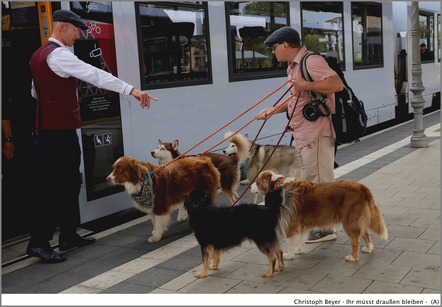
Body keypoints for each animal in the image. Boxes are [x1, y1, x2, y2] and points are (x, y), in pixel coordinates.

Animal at [250, 170, 388, 262]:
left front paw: (289, 255)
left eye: (257, 181)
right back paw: (369, 248)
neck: (277, 187)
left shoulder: (292, 226)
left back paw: (353, 257)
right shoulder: (301, 225)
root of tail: (363, 188)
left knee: (356, 240)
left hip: (350, 222)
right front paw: (299, 250)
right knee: (366, 234)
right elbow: (300, 239)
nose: (249, 186)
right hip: (358, 220)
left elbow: (291, 242)